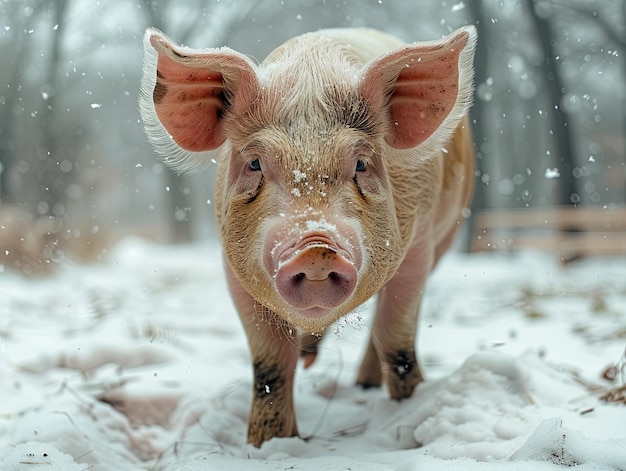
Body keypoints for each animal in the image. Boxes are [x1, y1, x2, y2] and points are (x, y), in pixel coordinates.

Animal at [140, 24, 472, 446]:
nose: (316, 247)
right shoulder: (232, 267)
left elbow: (396, 338)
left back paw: (364, 385)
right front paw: (268, 444)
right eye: (254, 163)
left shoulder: (422, 239)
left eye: (361, 163)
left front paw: (407, 407)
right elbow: (269, 363)